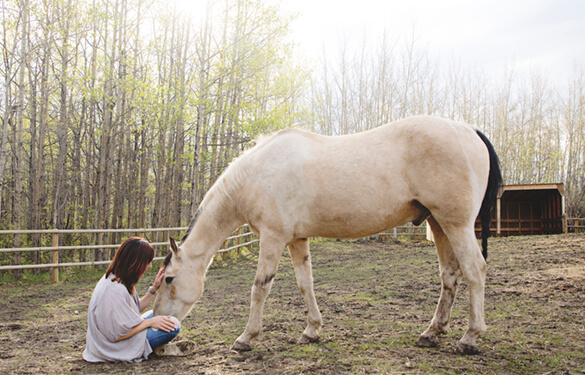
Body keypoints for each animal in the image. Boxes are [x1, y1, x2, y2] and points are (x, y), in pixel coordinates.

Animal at [154, 117, 502, 356]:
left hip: (456, 224)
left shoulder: (273, 238)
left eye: (169, 279)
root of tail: (470, 131)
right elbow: (305, 284)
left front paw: (246, 338)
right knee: (449, 276)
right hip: (439, 224)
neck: (256, 174)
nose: (160, 325)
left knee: (475, 270)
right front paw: (312, 330)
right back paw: (432, 333)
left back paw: (470, 337)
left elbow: (259, 288)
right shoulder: (297, 240)